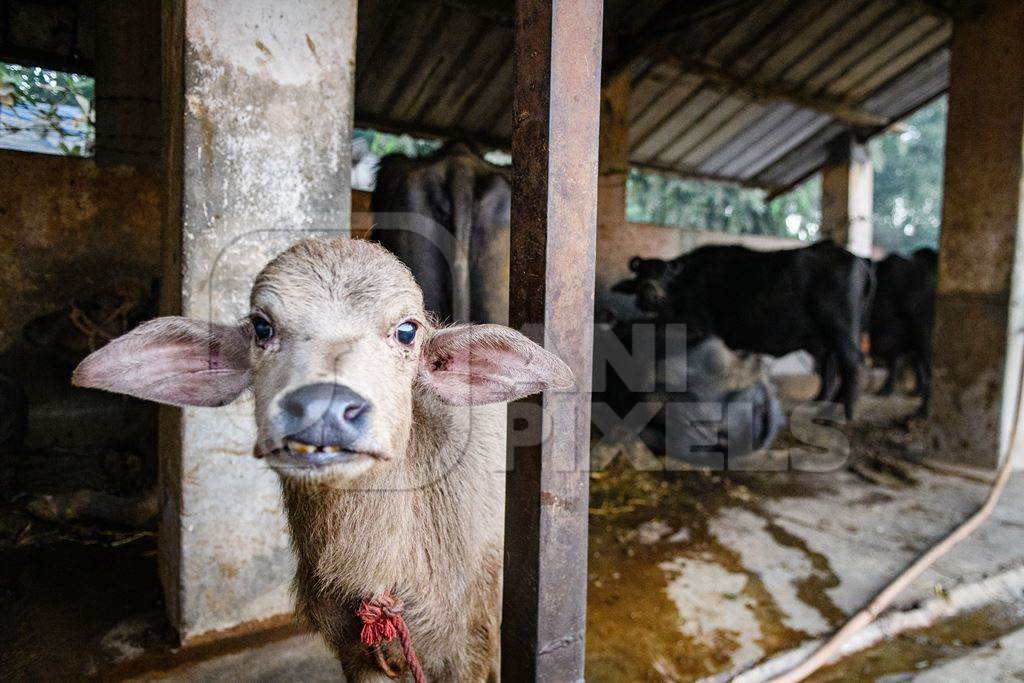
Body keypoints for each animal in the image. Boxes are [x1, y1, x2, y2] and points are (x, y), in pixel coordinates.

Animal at [610, 242, 876, 419]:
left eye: (665, 275)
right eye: (641, 274)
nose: (648, 292)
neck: (687, 285)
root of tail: (859, 261)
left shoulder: (697, 326)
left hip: (841, 329)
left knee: (851, 363)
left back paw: (843, 413)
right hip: (822, 338)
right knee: (830, 365)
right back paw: (820, 404)